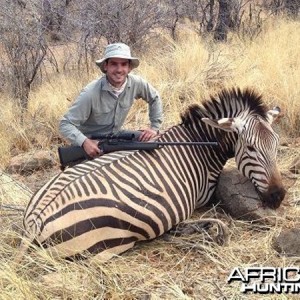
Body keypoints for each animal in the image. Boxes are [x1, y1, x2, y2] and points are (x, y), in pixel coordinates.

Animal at [18, 88, 286, 262]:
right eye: (250, 148)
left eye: (276, 143)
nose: (278, 196)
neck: (200, 143)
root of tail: (34, 222)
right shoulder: (205, 196)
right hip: (110, 245)